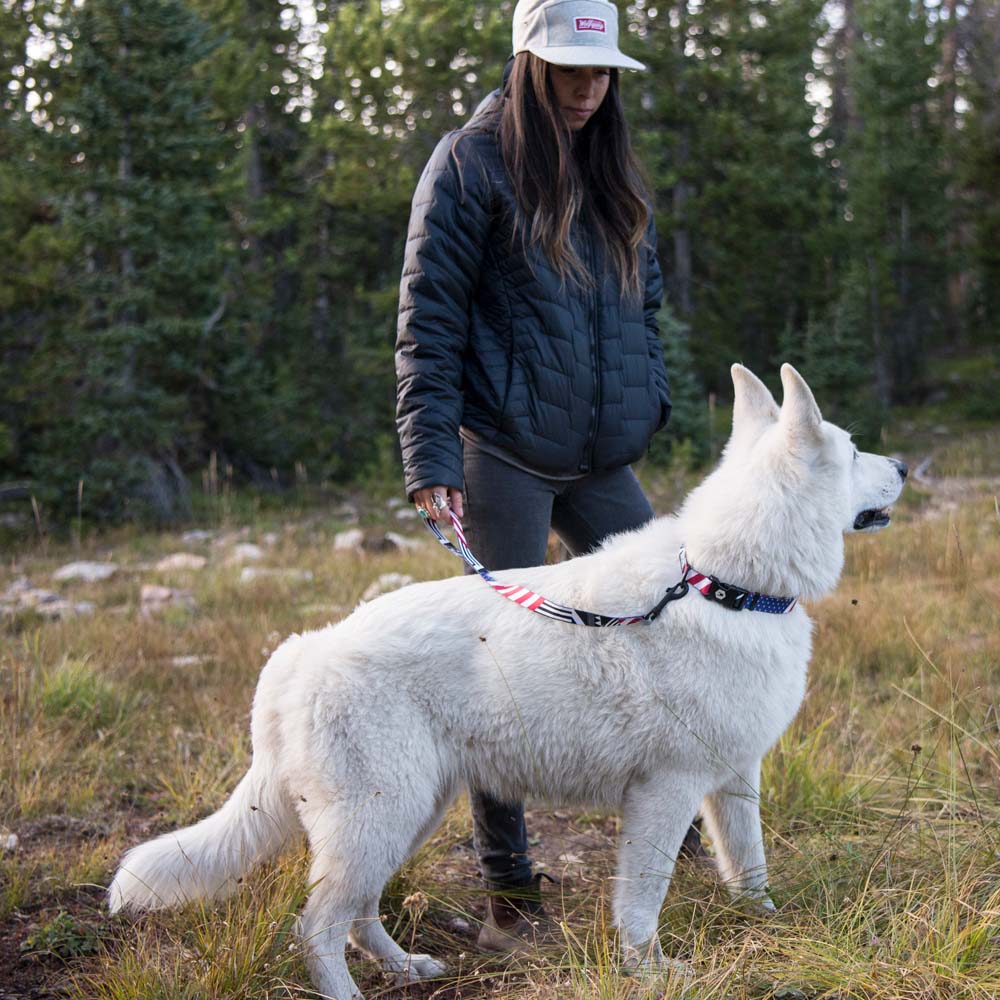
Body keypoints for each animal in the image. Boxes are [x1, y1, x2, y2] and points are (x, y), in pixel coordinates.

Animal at [107, 364, 908, 996]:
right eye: (853, 449)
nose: (904, 465)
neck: (723, 583)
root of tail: (300, 655)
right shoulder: (666, 792)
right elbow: (642, 899)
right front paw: (650, 970)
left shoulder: (733, 779)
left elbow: (750, 868)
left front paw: (764, 923)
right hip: (378, 821)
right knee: (318, 930)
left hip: (406, 815)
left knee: (359, 918)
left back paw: (406, 969)